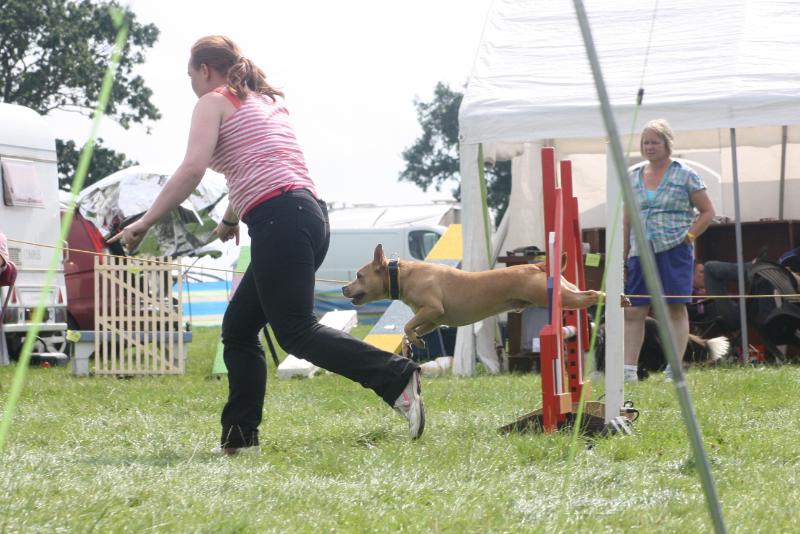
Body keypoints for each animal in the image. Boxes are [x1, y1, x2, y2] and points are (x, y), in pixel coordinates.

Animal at [340, 246, 604, 350]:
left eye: (359, 276)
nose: (343, 288)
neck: (401, 275)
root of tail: (536, 266)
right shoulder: (433, 319)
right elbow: (411, 329)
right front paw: (414, 342)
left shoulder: (432, 309)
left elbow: (406, 325)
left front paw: (413, 339)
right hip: (565, 290)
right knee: (583, 293)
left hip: (561, 296)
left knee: (590, 295)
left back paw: (605, 298)